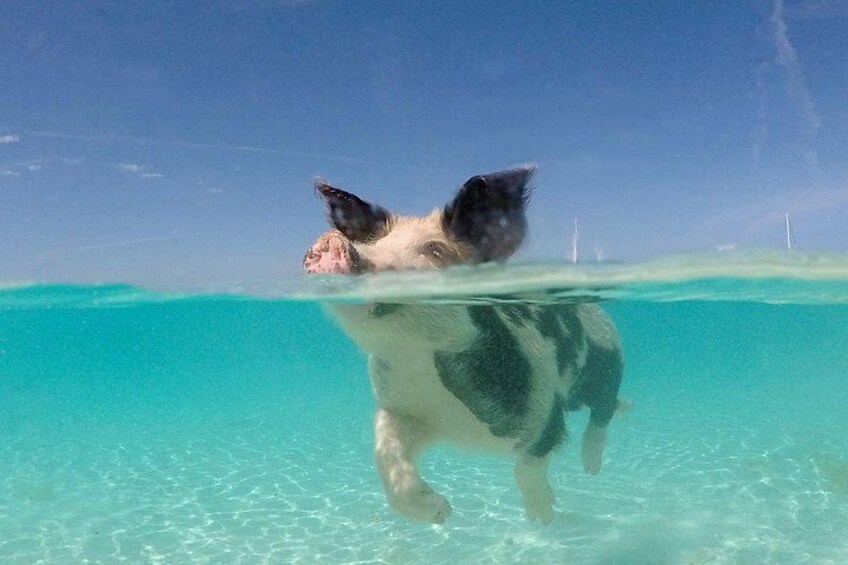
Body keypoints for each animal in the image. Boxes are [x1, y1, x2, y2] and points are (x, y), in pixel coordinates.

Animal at [302, 166, 624, 525]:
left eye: (435, 250)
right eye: (374, 243)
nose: (330, 241)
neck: (417, 358)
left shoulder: (543, 409)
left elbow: (528, 465)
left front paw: (542, 517)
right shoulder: (403, 409)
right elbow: (386, 453)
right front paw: (442, 512)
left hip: (606, 361)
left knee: (604, 409)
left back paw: (591, 469)